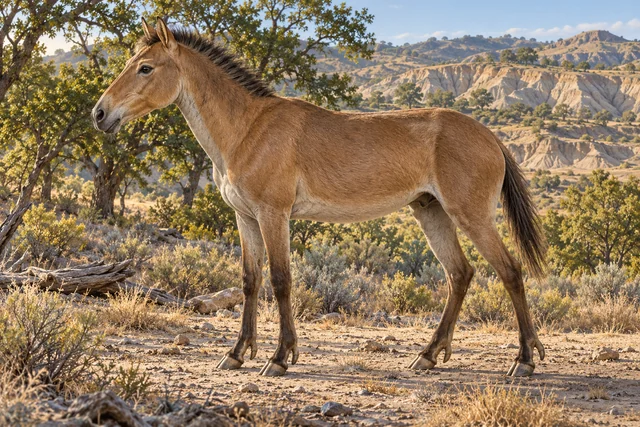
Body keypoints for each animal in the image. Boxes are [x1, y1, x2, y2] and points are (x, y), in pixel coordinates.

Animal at [93, 18, 546, 377]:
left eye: (145, 67)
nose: (100, 113)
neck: (248, 128)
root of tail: (491, 136)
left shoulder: (274, 214)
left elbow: (281, 280)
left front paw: (279, 358)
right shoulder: (246, 218)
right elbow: (250, 281)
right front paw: (236, 354)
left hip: (471, 216)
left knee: (510, 272)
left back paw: (523, 360)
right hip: (431, 214)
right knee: (459, 275)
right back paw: (428, 355)